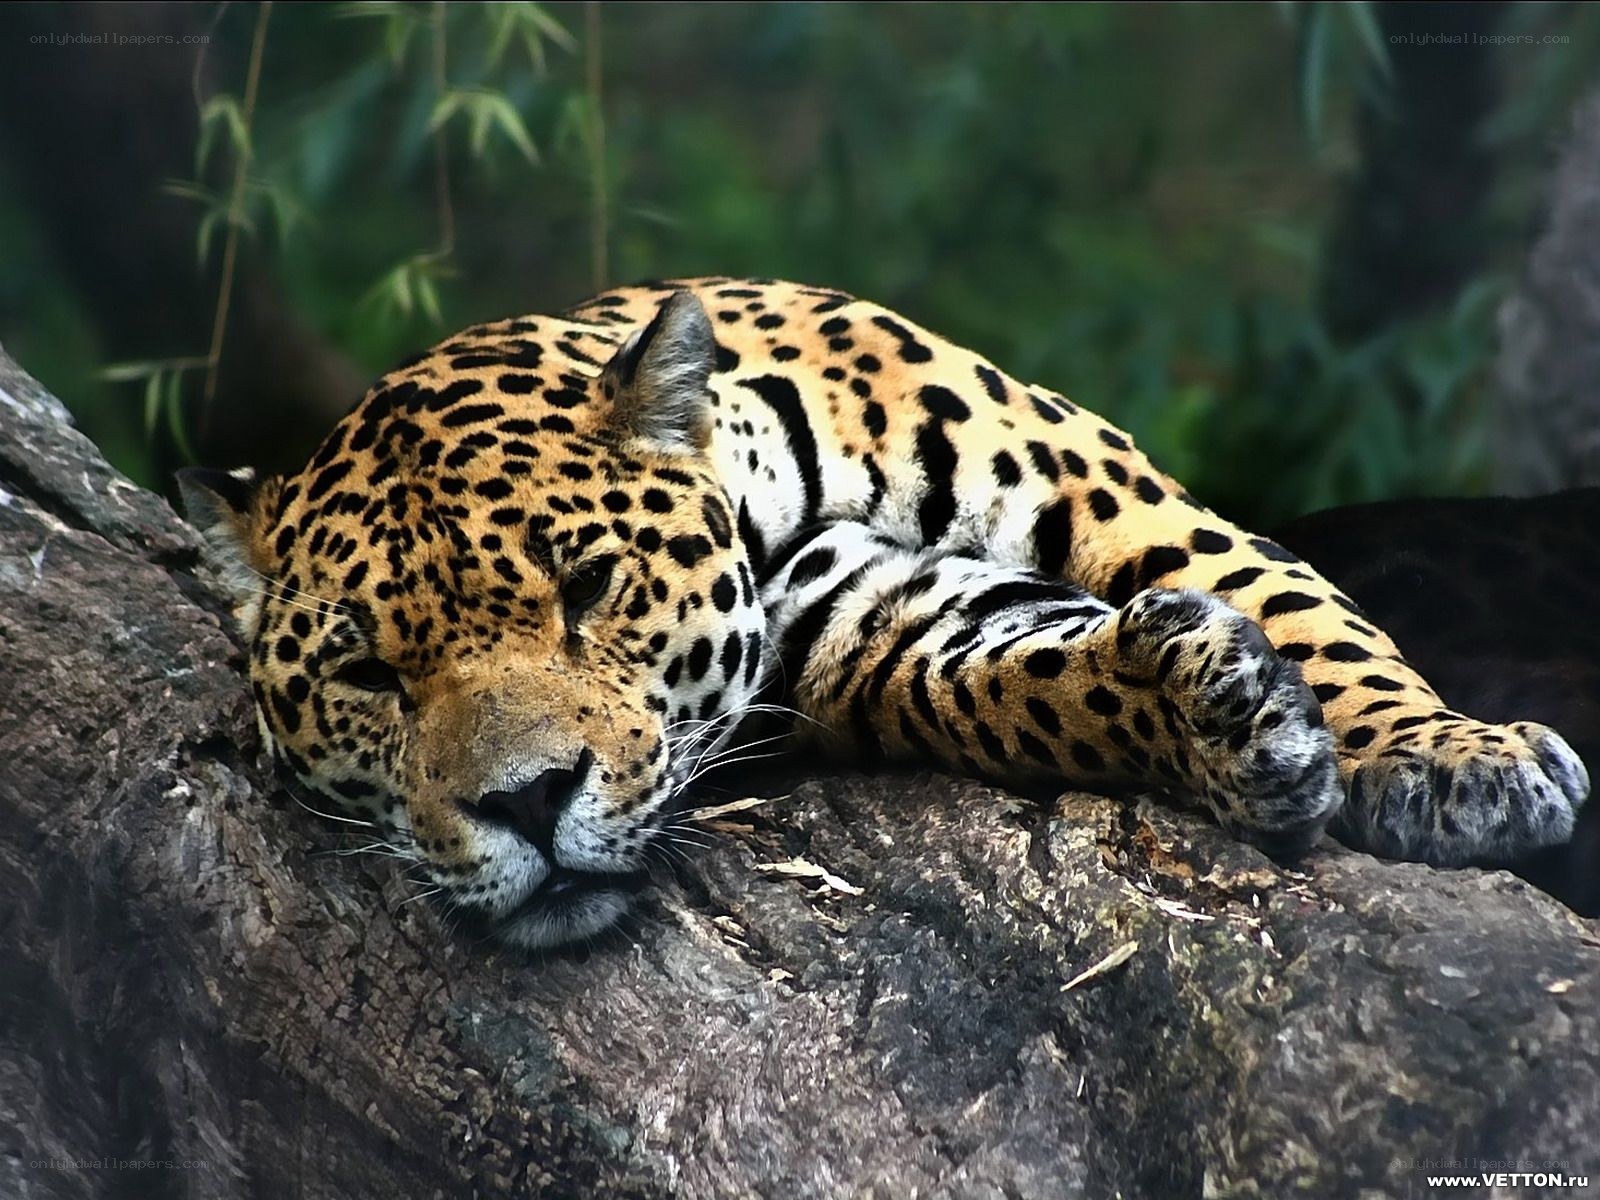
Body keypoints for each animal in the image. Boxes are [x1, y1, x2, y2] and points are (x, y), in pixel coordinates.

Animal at [179, 278, 1591, 949]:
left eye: (587, 587)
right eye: (370, 679)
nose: (525, 805)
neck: (757, 497)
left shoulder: (1098, 487)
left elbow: (1292, 609)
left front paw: (1447, 762)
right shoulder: (875, 621)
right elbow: (1016, 684)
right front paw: (1208, 717)